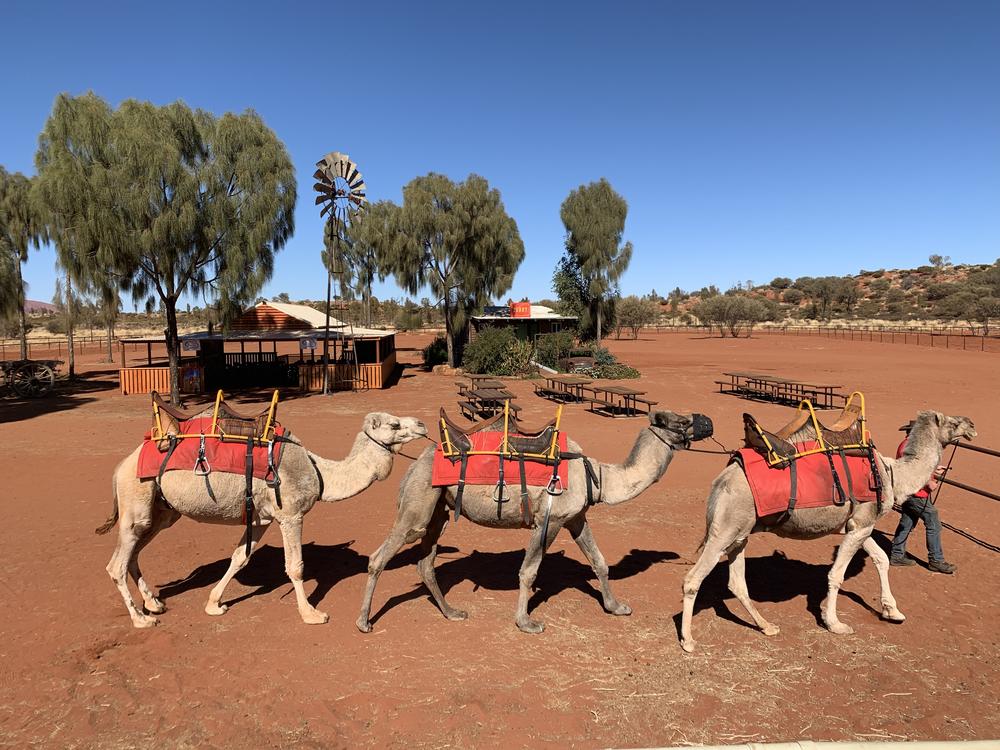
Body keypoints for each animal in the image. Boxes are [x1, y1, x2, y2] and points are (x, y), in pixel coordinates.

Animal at [99, 412, 428, 628]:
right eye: (394, 424)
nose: (422, 424)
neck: (319, 472)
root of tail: (120, 467)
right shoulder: (291, 515)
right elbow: (295, 567)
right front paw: (312, 614)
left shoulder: (261, 519)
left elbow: (240, 558)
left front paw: (214, 604)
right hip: (136, 499)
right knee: (116, 564)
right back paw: (141, 618)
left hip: (162, 511)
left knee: (134, 553)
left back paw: (154, 603)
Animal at [680, 412, 976, 652]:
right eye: (952, 422)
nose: (972, 425)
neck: (891, 474)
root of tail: (722, 480)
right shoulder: (861, 525)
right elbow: (836, 574)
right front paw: (835, 623)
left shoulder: (859, 525)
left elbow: (881, 559)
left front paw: (893, 611)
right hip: (725, 529)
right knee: (693, 579)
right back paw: (688, 640)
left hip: (741, 532)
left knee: (736, 582)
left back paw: (767, 626)